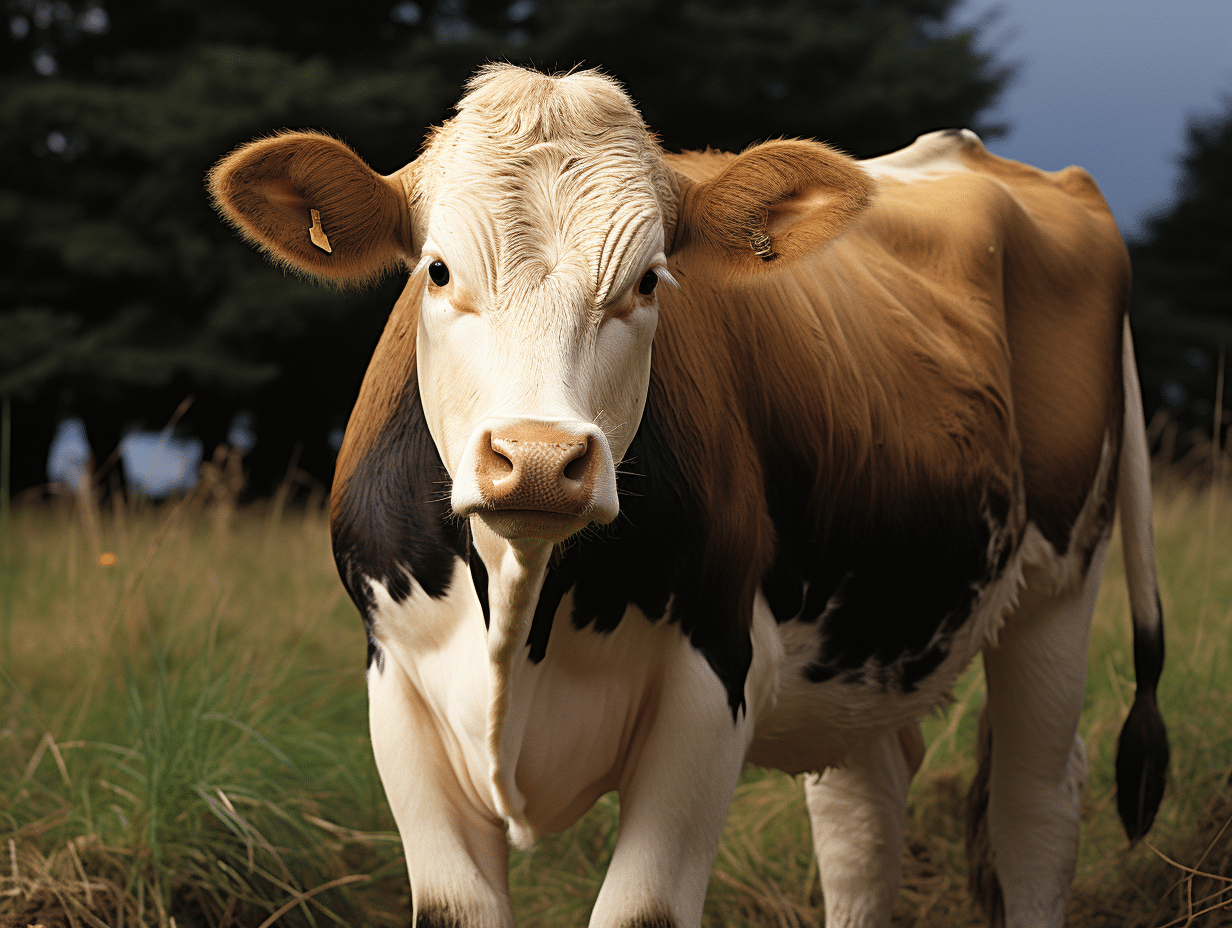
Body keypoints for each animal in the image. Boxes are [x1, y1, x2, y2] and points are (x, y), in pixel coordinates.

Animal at [209, 64, 1170, 928]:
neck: (522, 609)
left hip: (1061, 583)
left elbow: (644, 912)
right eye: (437, 273)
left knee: (1034, 808)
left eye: (648, 280)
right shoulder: (397, 690)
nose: (537, 458)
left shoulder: (710, 683)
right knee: (865, 812)